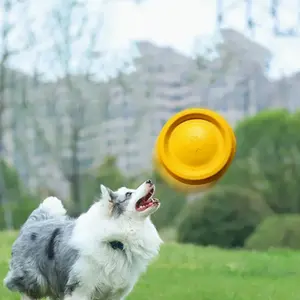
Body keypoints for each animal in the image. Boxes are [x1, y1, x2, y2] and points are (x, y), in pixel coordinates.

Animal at [3, 180, 162, 300]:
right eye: (128, 194)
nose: (149, 181)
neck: (115, 241)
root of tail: (33, 222)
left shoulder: (114, 293)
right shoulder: (79, 288)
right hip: (35, 281)